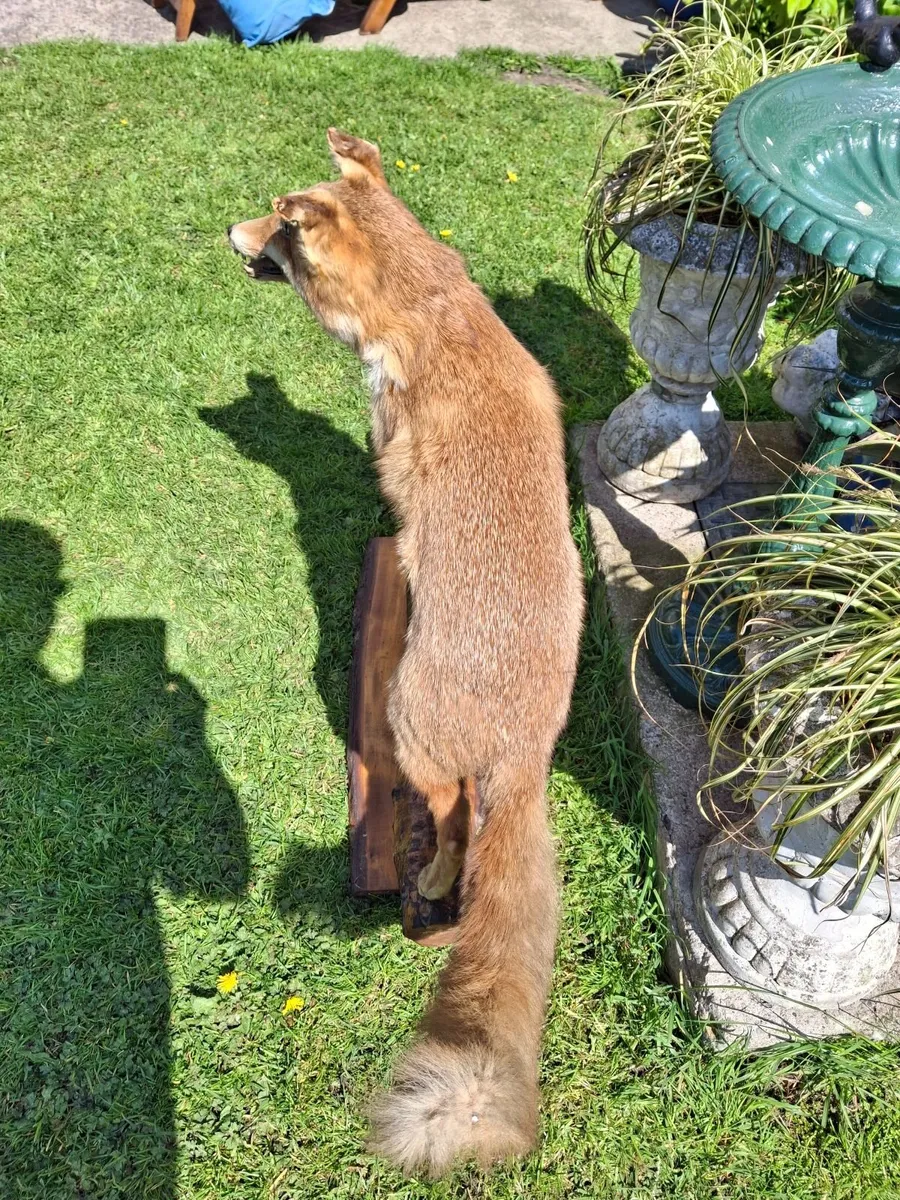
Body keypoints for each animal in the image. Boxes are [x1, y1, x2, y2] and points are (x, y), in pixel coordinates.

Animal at [227, 128, 584, 1176]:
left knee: (452, 826)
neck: (435, 311)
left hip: (405, 726)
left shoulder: (390, 448)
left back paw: (429, 886)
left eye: (279, 224)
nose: (229, 234)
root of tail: (526, 747)